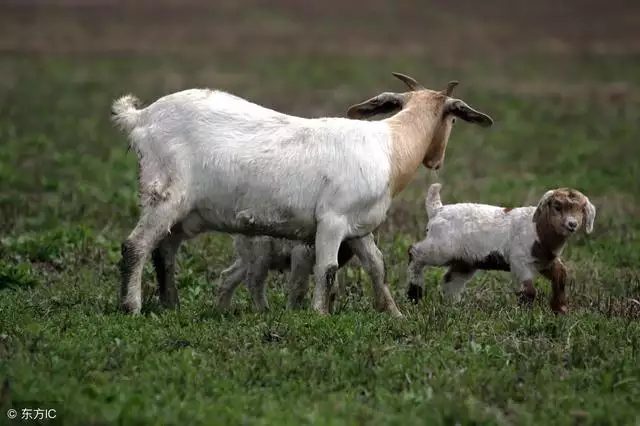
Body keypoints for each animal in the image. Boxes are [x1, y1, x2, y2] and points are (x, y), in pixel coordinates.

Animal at [216, 235, 356, 312]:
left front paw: (330, 312)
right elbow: (299, 286)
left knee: (228, 276)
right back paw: (265, 310)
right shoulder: (301, 253)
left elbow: (332, 288)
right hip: (259, 250)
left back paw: (223, 310)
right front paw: (292, 311)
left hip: (247, 254)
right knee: (255, 281)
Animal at [408, 183, 596, 312]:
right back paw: (414, 295)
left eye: (582, 209)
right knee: (415, 253)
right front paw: (526, 315)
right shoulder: (519, 260)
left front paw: (560, 310)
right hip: (442, 246)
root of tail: (437, 210)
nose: (572, 224)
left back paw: (454, 306)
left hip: (466, 260)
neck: (537, 229)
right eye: (557, 206)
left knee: (451, 279)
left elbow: (561, 275)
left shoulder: (546, 261)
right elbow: (528, 290)